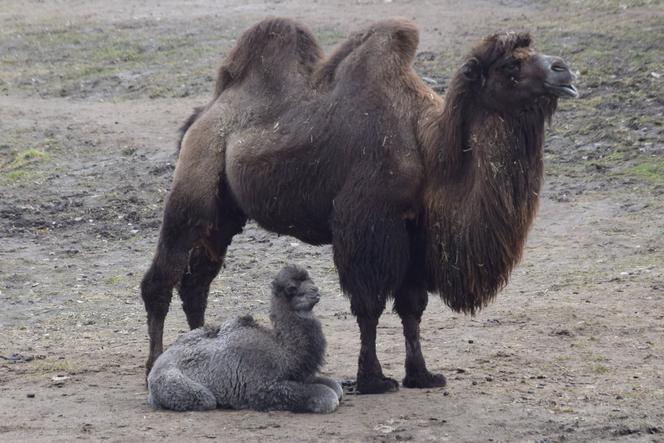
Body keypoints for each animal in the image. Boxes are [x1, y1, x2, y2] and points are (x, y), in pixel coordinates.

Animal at [141, 17, 576, 394]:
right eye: (511, 64)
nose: (564, 71)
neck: (429, 149)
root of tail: (204, 112)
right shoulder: (367, 221)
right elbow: (369, 306)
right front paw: (373, 380)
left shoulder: (413, 232)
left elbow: (412, 307)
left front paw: (421, 375)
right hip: (194, 181)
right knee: (162, 278)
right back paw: (153, 364)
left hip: (225, 211)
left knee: (197, 281)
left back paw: (198, 346)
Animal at [147, 266, 342, 414]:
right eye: (292, 288)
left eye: (310, 280)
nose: (316, 291)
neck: (283, 351)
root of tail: (153, 372)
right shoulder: (263, 387)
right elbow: (327, 396)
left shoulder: (298, 376)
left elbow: (335, 386)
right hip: (182, 387)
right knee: (207, 400)